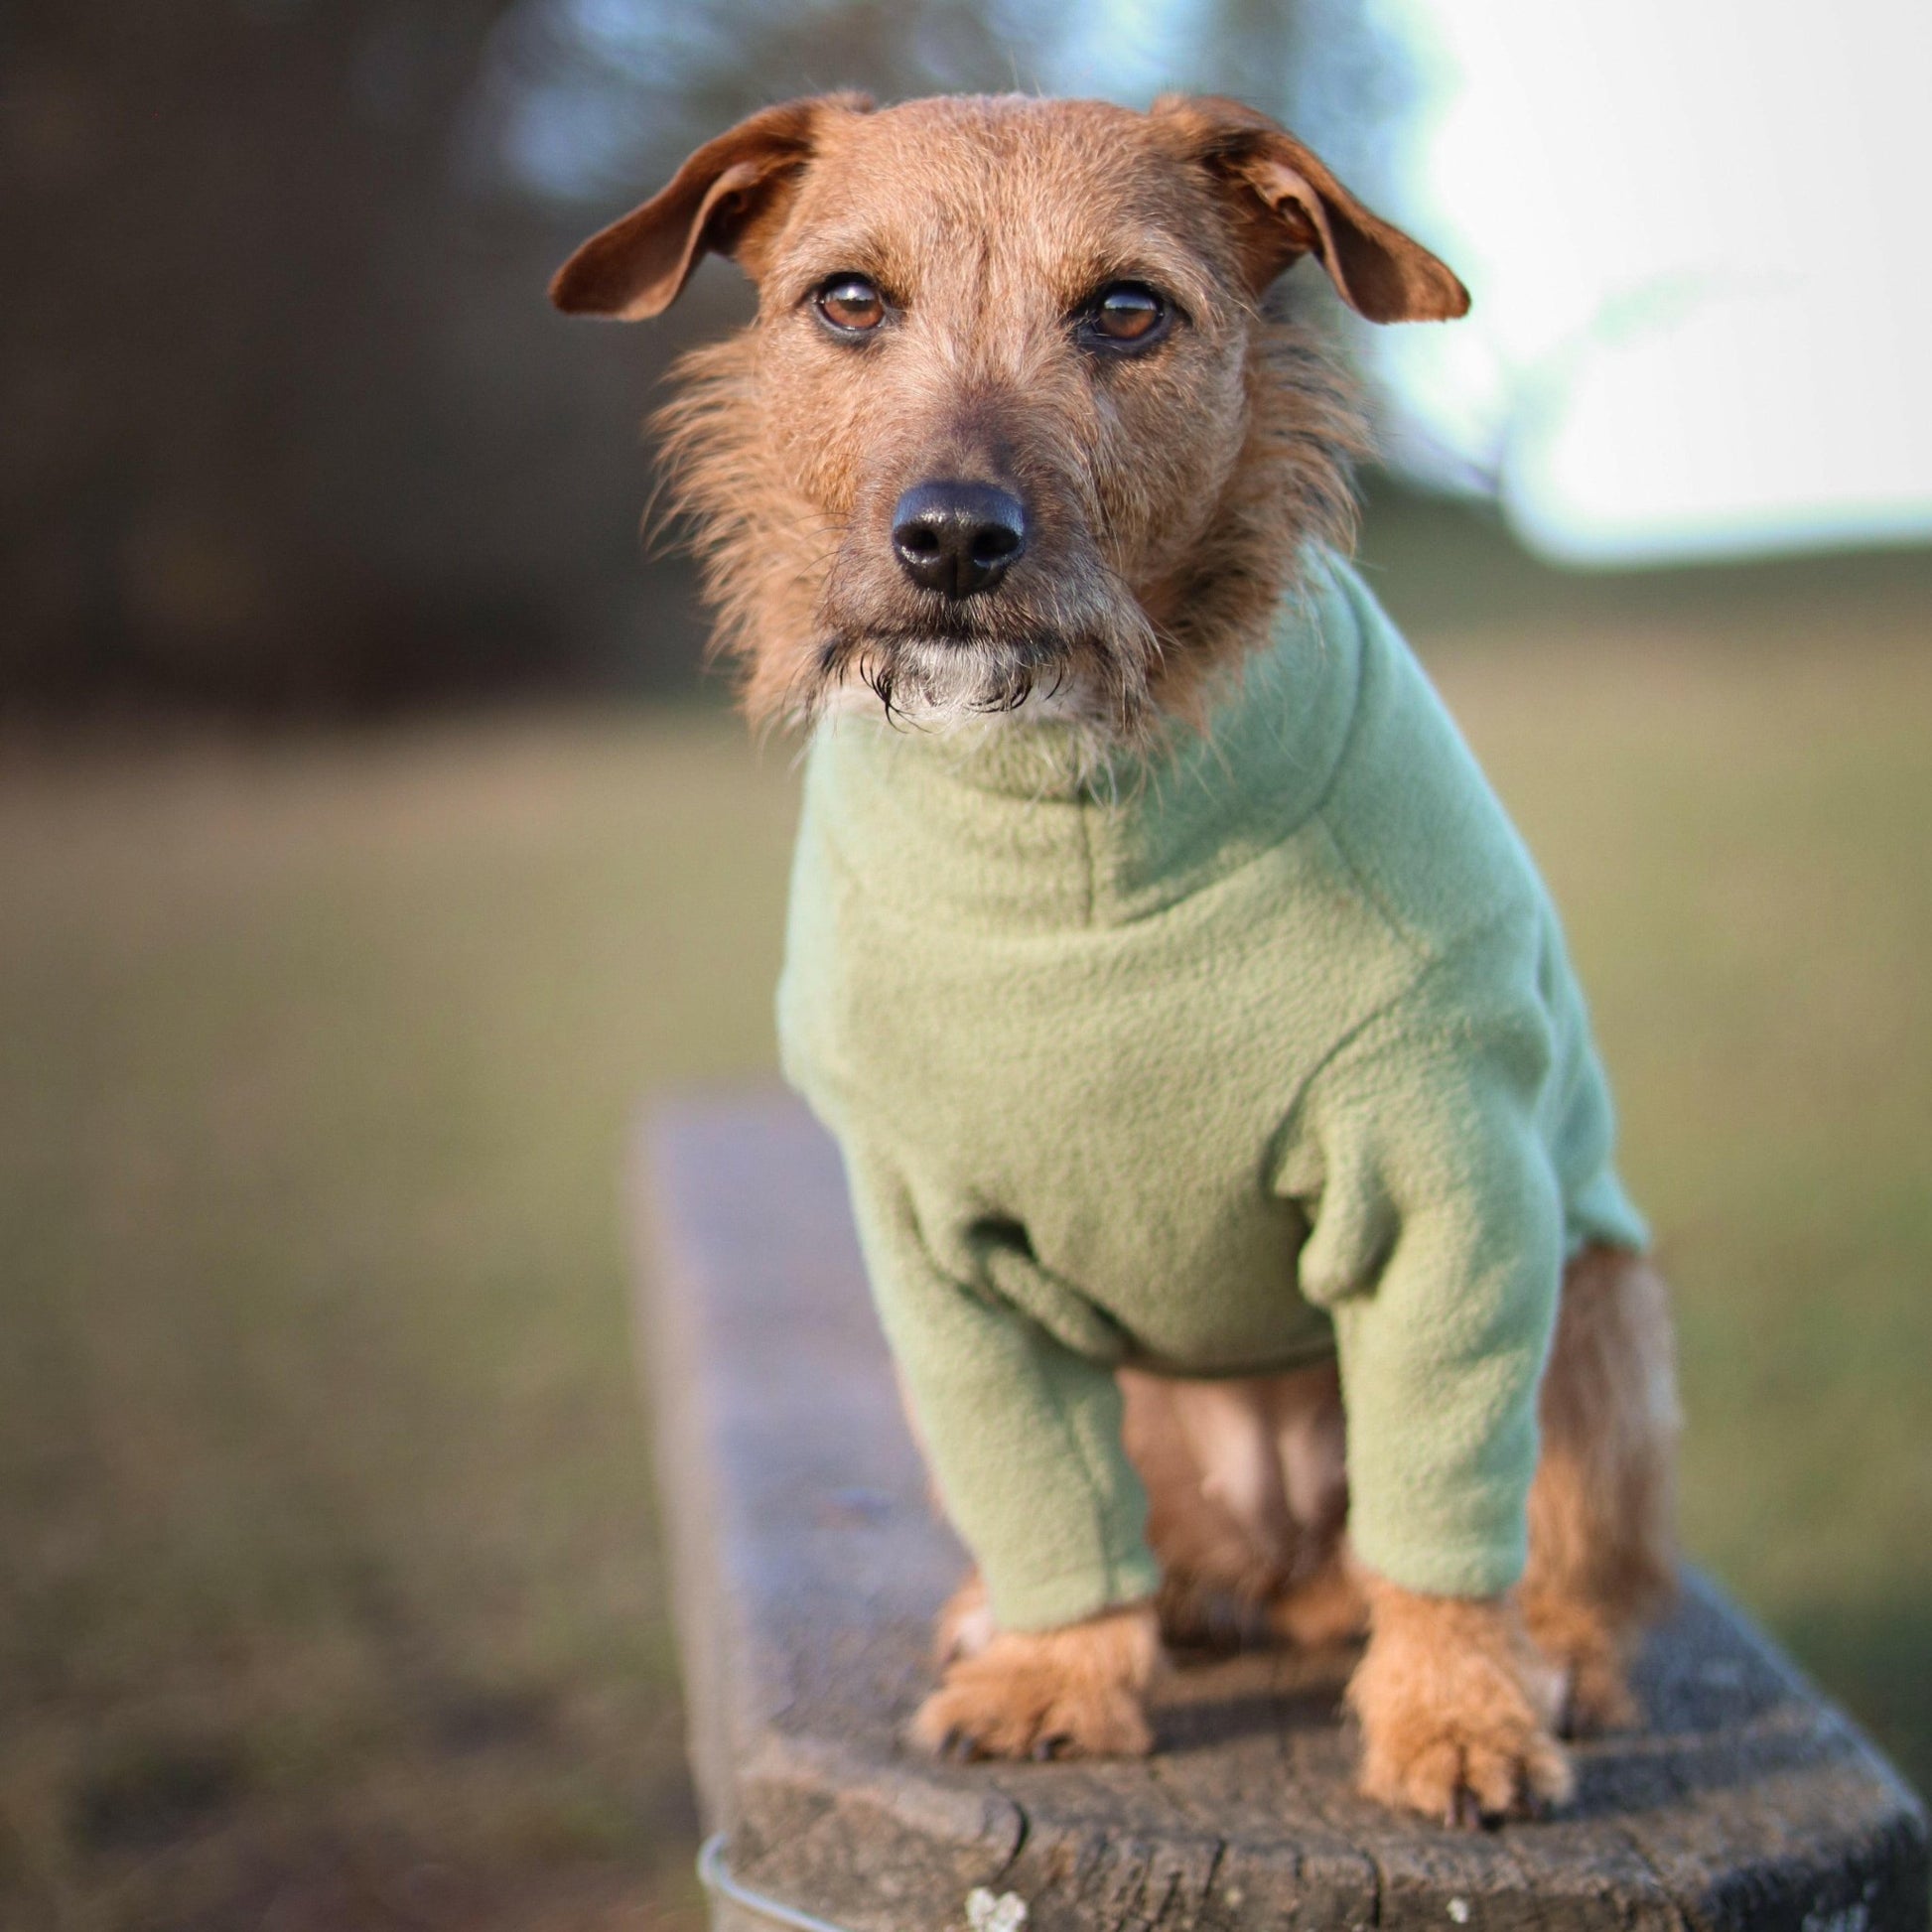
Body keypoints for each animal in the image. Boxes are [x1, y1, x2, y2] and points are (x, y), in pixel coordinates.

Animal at [556, 90, 1677, 1824]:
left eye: (1128, 311)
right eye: (848, 300)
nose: (953, 536)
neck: (1059, 815)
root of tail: (1276, 1559)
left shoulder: (1451, 1195)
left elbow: (1443, 1504)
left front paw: (1457, 1710)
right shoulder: (938, 1259)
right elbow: (1039, 1492)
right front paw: (1052, 1671)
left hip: (1602, 1298)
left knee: (1536, 1548)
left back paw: (1553, 1656)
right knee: (1147, 1544)